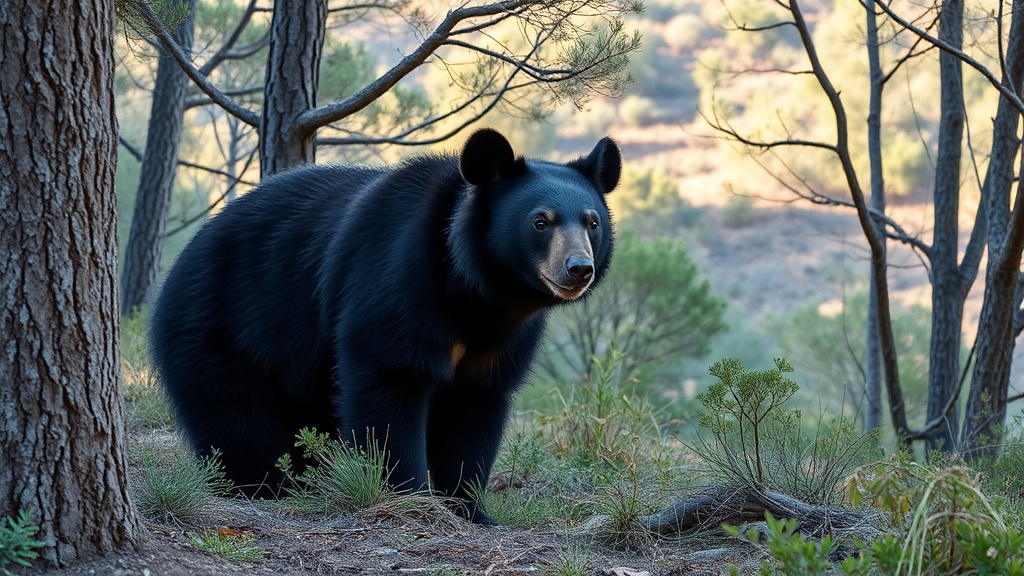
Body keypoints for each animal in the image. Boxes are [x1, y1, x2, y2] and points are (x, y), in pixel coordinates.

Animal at [149, 128, 620, 524]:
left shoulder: (504, 338)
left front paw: (470, 509)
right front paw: (411, 499)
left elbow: (475, 407)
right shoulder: (396, 279)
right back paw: (262, 487)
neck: (480, 293)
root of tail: (181, 259)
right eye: (540, 221)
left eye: (592, 222)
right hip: (219, 328)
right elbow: (390, 381)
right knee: (237, 422)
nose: (579, 269)